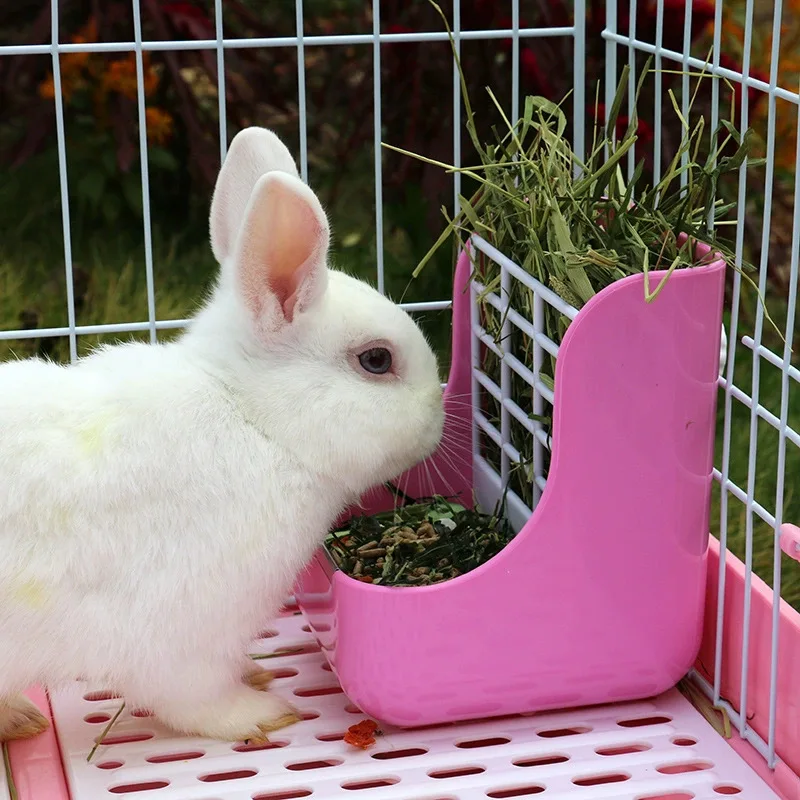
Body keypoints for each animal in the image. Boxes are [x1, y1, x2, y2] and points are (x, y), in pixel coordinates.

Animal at [0, 127, 444, 743]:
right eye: (376, 360)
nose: (440, 412)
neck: (254, 420)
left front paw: (255, 674)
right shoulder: (178, 635)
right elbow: (194, 698)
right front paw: (262, 712)